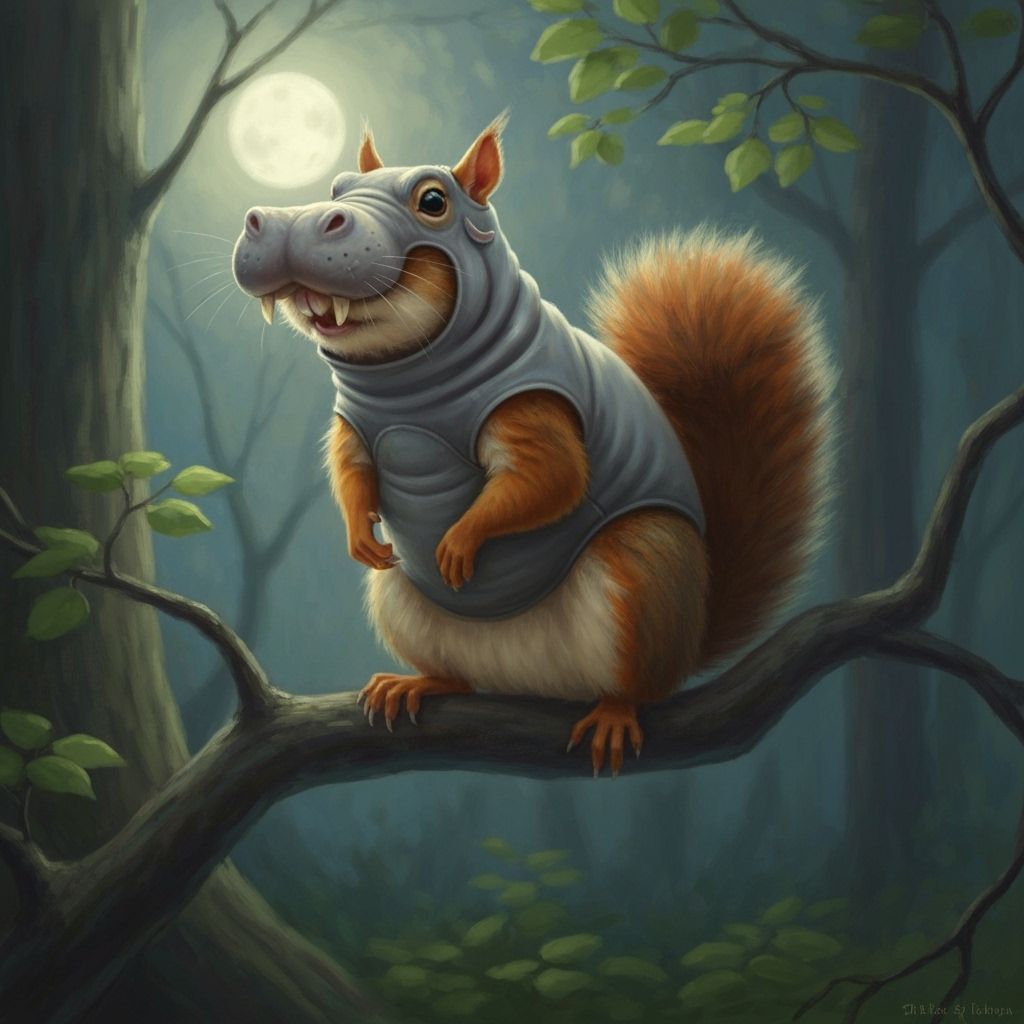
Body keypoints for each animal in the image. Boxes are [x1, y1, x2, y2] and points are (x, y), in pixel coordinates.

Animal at [231, 117, 832, 777]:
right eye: (337, 188)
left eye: (433, 201)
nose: (286, 224)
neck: (406, 379)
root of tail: (533, 681)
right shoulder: (357, 428)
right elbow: (350, 473)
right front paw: (360, 535)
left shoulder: (534, 406)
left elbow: (551, 478)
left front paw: (459, 542)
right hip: (400, 602)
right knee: (458, 675)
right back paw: (415, 684)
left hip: (643, 576)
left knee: (640, 684)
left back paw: (615, 714)